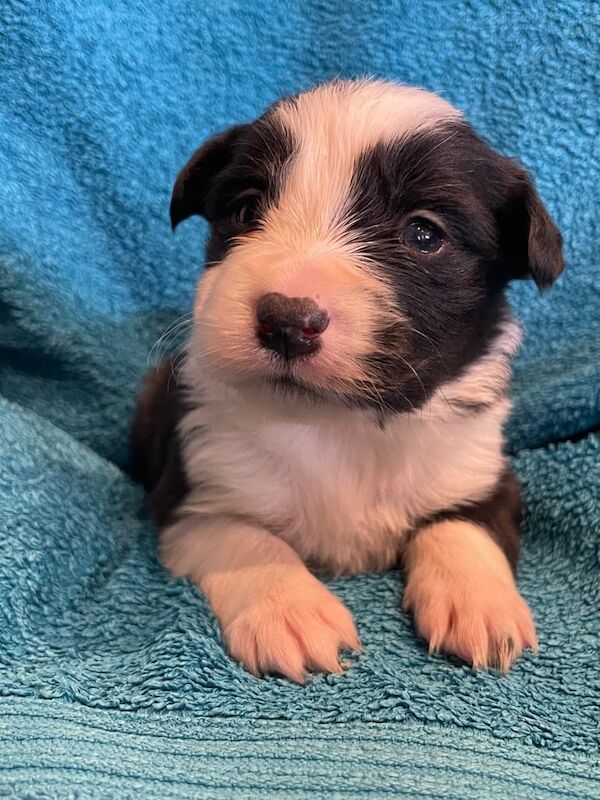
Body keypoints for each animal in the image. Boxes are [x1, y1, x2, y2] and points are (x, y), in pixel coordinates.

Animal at [131, 79, 564, 680]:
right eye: (245, 209)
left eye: (424, 234)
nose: (287, 320)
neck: (338, 421)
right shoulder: (192, 492)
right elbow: (248, 539)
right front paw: (290, 611)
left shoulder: (483, 470)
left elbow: (464, 524)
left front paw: (479, 604)